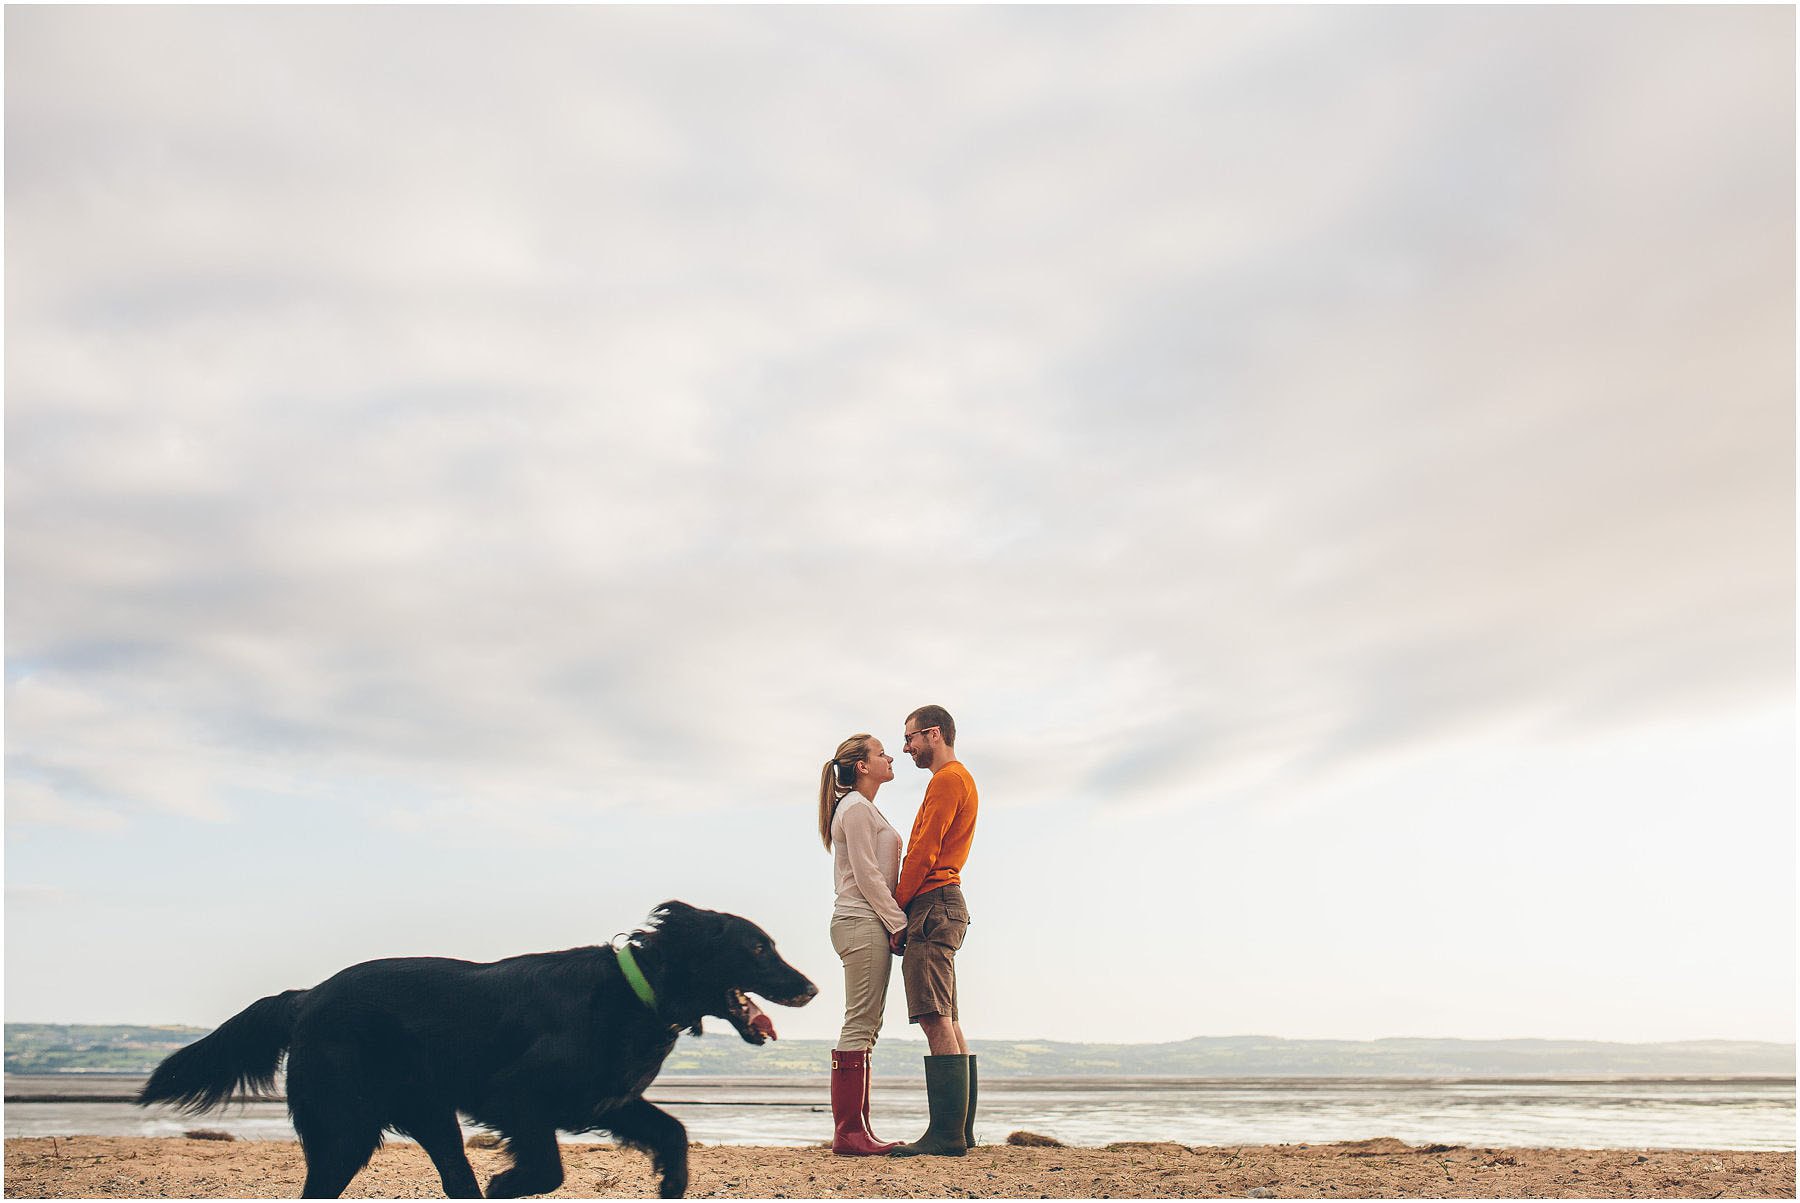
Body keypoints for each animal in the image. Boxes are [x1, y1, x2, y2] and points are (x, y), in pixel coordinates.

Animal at [140, 896, 817, 1195]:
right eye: (759, 948)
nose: (810, 988)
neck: (636, 990)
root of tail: (307, 997)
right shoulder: (517, 1097)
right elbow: (546, 1169)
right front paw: (508, 1183)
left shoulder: (607, 1101)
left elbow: (673, 1134)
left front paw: (671, 1183)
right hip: (345, 1130)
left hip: (430, 1119)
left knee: (454, 1182)